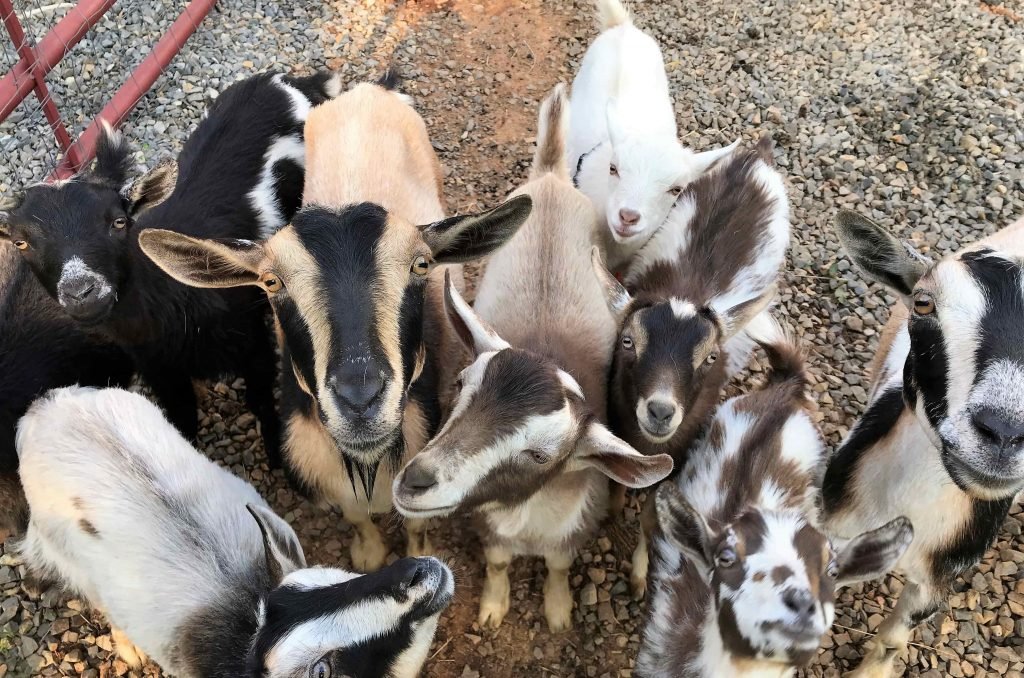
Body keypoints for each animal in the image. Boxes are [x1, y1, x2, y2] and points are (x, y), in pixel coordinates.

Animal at [0, 70, 342, 467]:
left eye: (119, 222)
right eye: (21, 242)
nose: (82, 291)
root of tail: (286, 80)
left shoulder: (253, 342)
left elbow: (261, 401)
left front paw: (277, 458)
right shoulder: (160, 370)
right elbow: (181, 419)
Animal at [140, 76, 532, 573]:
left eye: (421, 265)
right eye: (271, 281)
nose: (360, 399)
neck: (367, 464)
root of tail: (368, 90)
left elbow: (417, 523)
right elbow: (355, 515)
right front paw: (368, 553)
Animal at [391, 85, 673, 633]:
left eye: (541, 455)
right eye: (461, 386)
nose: (416, 482)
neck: (527, 517)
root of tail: (550, 176)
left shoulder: (569, 532)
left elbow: (560, 567)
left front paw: (559, 611)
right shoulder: (493, 531)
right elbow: (499, 564)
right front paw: (493, 608)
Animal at [593, 138, 790, 598]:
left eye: (710, 358)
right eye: (628, 342)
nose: (660, 411)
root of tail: (756, 155)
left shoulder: (681, 452)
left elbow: (652, 513)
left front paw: (640, 574)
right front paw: (612, 510)